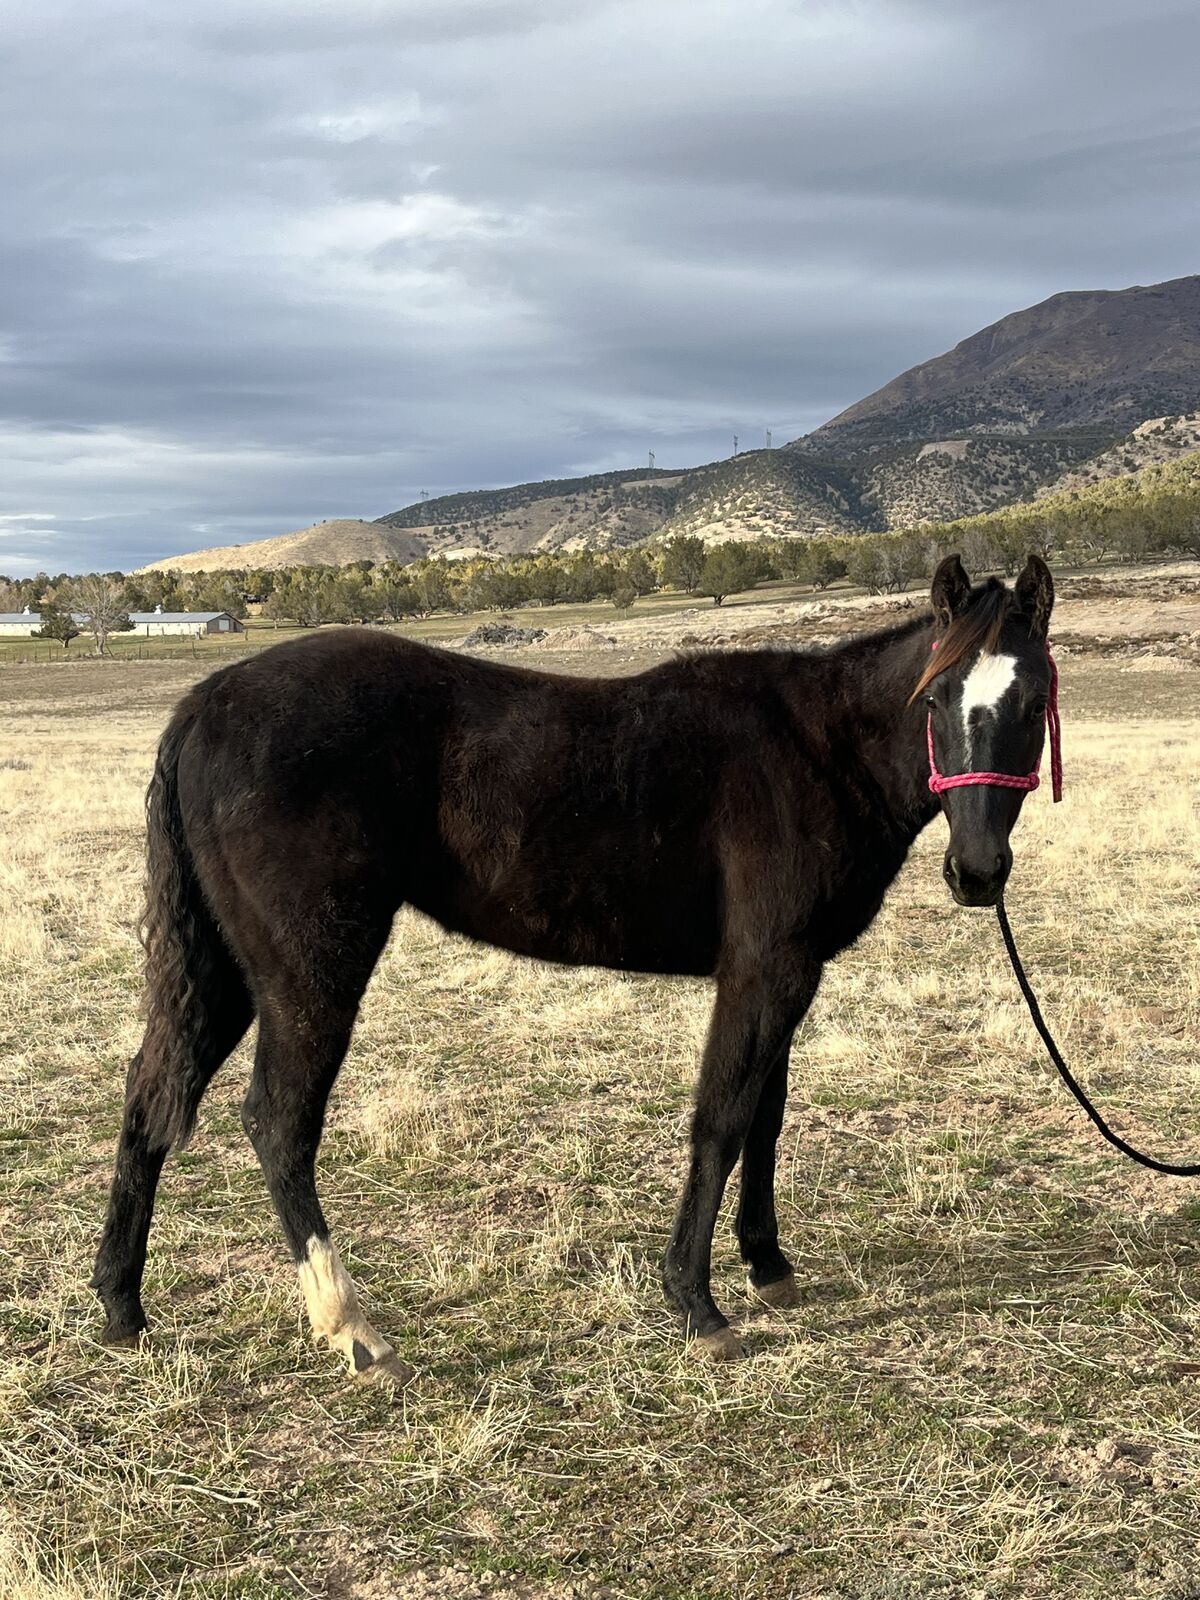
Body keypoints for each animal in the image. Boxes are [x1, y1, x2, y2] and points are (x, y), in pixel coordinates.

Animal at [93, 553, 1056, 1378]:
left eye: (1033, 698)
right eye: (937, 699)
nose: (978, 874)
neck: (816, 751)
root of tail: (204, 703)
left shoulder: (791, 973)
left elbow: (767, 1120)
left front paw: (768, 1264)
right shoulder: (763, 971)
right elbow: (722, 1120)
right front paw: (697, 1304)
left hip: (228, 974)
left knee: (149, 1094)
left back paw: (121, 1307)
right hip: (311, 974)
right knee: (279, 1124)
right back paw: (354, 1328)